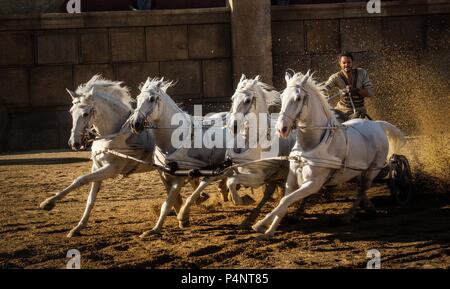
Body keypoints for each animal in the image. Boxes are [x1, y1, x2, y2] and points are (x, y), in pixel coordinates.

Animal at [40, 74, 156, 236]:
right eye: (71, 111)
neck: (114, 134)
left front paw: (48, 202)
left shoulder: (111, 169)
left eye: (85, 113)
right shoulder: (97, 167)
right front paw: (78, 227)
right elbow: (90, 198)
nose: (74, 143)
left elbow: (80, 179)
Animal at [251, 70, 406, 238]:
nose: (281, 129)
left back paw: (348, 216)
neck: (309, 146)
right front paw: (269, 230)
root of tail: (377, 124)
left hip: (373, 169)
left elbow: (285, 201)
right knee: (361, 190)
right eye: (283, 96)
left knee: (362, 191)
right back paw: (366, 208)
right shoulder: (291, 180)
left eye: (298, 98)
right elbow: (284, 201)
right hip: (358, 171)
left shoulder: (313, 184)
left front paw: (260, 224)